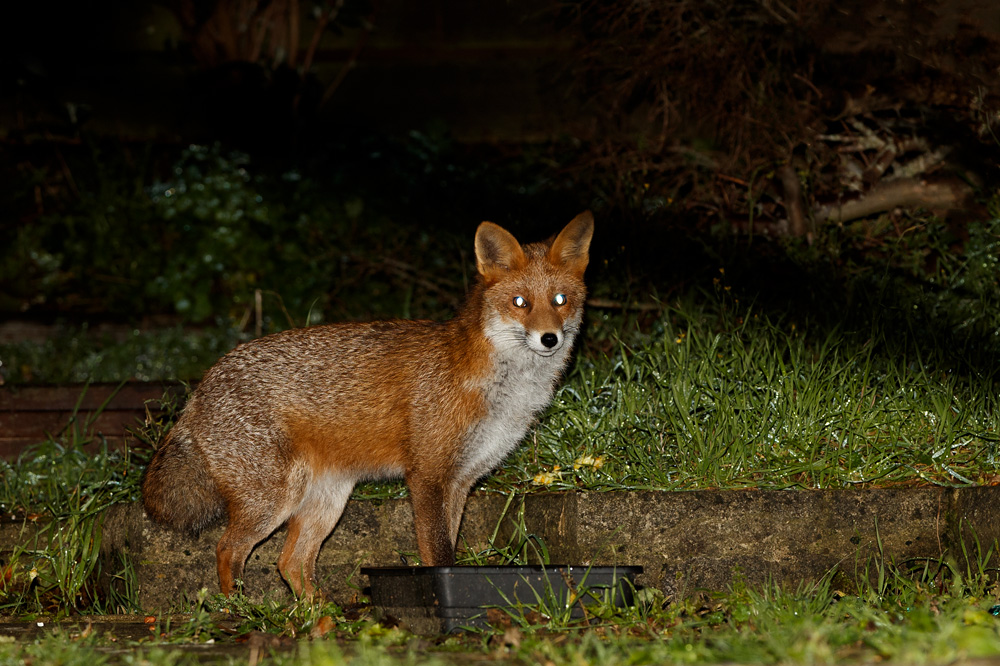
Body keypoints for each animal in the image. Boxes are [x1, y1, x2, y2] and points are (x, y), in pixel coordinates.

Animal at [142, 211, 594, 597]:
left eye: (560, 300)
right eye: (520, 303)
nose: (549, 339)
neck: (501, 390)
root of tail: (201, 387)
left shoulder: (461, 480)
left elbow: (448, 546)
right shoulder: (428, 476)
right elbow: (439, 554)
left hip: (326, 502)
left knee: (291, 563)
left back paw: (321, 621)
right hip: (272, 501)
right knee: (228, 549)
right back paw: (241, 612)